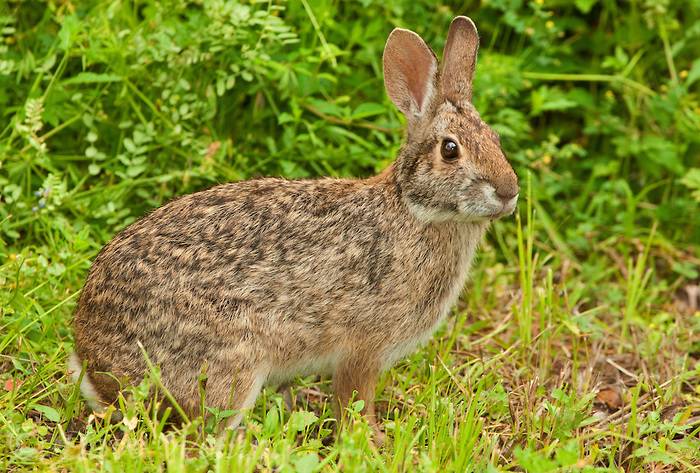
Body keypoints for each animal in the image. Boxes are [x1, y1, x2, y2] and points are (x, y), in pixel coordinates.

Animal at [69, 16, 520, 440]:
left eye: (496, 139)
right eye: (450, 149)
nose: (508, 191)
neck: (413, 208)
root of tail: (95, 363)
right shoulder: (362, 350)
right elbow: (354, 401)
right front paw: (371, 442)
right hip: (232, 365)